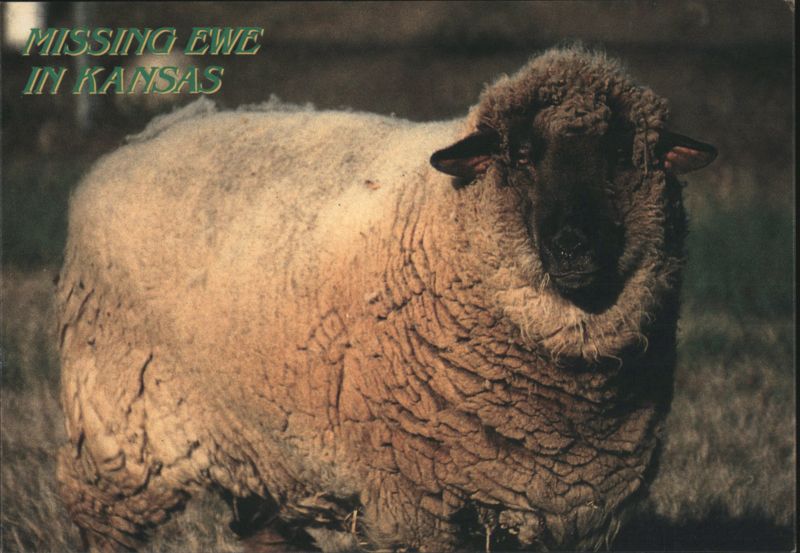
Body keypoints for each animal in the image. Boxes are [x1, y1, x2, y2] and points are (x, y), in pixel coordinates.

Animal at [56, 46, 716, 552]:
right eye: (522, 156)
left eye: (624, 156)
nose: (572, 245)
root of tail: (144, 136)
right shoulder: (419, 504)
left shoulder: (579, 511)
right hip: (115, 427)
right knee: (103, 522)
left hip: (263, 450)